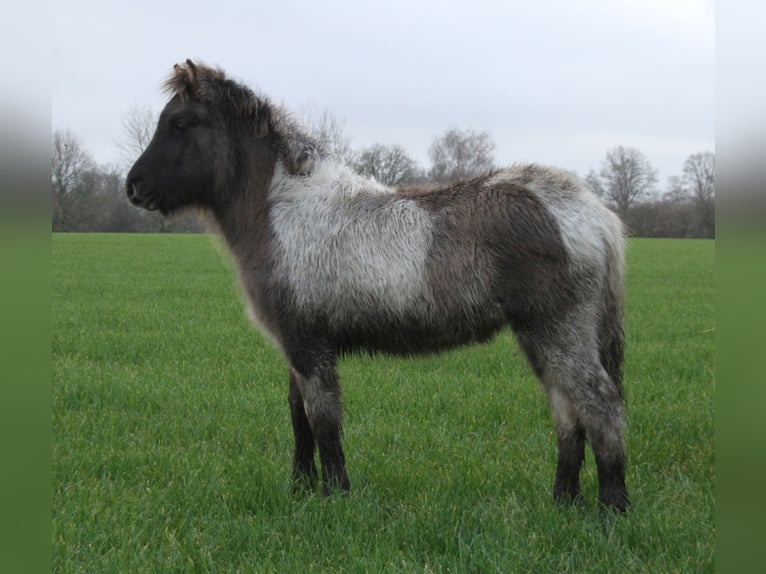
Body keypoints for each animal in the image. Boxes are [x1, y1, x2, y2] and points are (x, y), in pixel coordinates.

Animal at [126, 60, 629, 511]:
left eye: (179, 123)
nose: (133, 187)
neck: (285, 209)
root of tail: (596, 214)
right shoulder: (294, 346)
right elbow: (298, 418)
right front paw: (301, 489)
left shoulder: (310, 346)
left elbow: (324, 420)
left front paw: (335, 495)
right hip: (541, 338)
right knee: (568, 413)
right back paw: (563, 502)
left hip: (559, 332)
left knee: (600, 406)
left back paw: (613, 508)